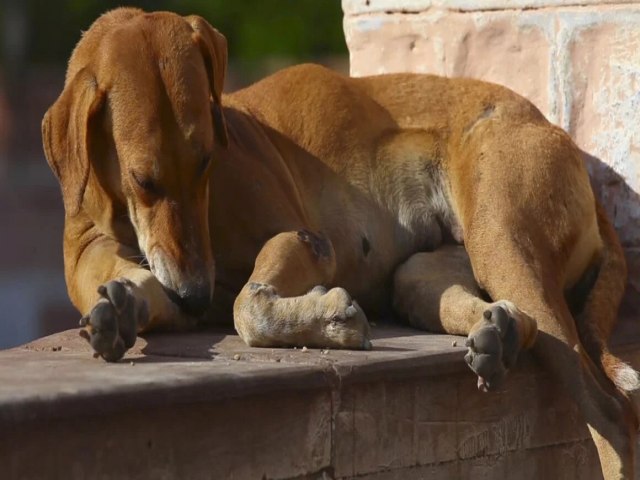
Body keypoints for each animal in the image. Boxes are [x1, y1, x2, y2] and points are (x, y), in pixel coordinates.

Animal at [43, 8, 636, 480]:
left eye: (208, 159)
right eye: (144, 180)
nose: (193, 294)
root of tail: (551, 130)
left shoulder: (307, 241)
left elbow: (248, 306)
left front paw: (330, 319)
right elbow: (145, 293)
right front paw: (119, 311)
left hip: (502, 238)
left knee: (609, 415)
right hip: (429, 273)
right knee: (505, 316)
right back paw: (501, 334)